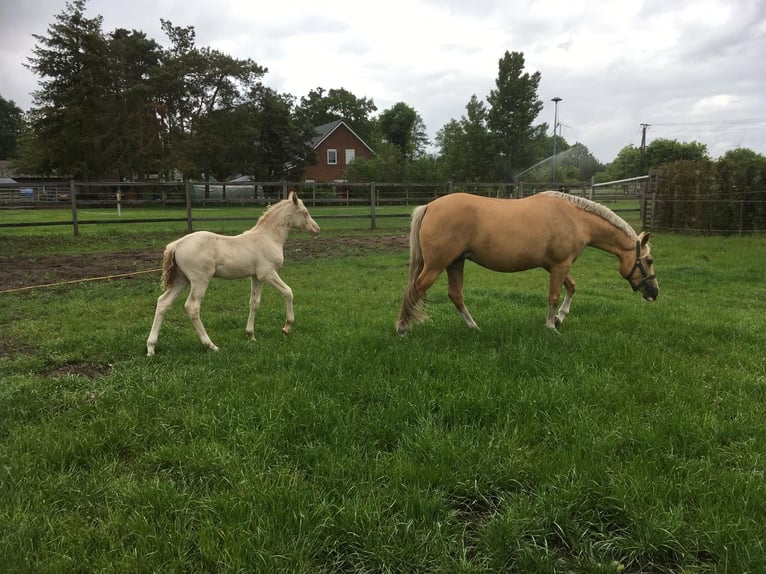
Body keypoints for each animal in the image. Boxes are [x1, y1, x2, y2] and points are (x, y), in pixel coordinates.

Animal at [147, 194, 320, 356]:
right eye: (305, 212)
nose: (317, 230)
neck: (268, 238)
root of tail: (177, 244)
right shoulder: (268, 274)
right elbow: (288, 292)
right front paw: (286, 328)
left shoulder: (256, 277)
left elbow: (254, 302)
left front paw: (251, 335)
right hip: (200, 280)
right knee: (192, 306)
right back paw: (211, 345)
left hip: (181, 280)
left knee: (163, 302)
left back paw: (151, 347)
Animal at [396, 192, 660, 336]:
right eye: (649, 260)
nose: (654, 293)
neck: (576, 219)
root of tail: (429, 206)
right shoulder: (560, 266)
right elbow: (554, 296)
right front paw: (551, 326)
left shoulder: (556, 266)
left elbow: (571, 287)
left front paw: (560, 318)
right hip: (436, 265)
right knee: (414, 290)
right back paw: (402, 328)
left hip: (455, 263)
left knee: (455, 295)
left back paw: (474, 327)